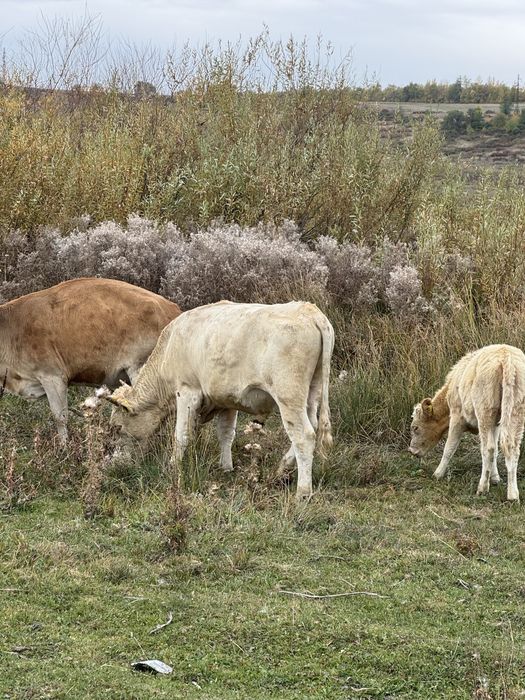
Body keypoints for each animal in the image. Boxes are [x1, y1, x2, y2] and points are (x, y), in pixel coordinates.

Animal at [98, 301, 334, 501]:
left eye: (118, 428)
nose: (114, 464)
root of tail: (310, 311)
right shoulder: (227, 401)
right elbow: (226, 434)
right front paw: (226, 466)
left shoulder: (187, 391)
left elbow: (181, 435)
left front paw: (172, 466)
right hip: (312, 393)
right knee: (313, 426)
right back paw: (281, 469)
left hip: (289, 396)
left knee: (304, 436)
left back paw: (303, 492)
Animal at [409, 344, 525, 502]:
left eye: (415, 428)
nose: (411, 451)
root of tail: (506, 356)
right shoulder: (496, 424)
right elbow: (496, 449)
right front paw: (495, 478)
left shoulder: (457, 416)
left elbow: (449, 448)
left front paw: (438, 474)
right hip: (515, 413)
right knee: (511, 448)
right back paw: (513, 495)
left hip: (485, 412)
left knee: (487, 448)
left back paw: (482, 488)